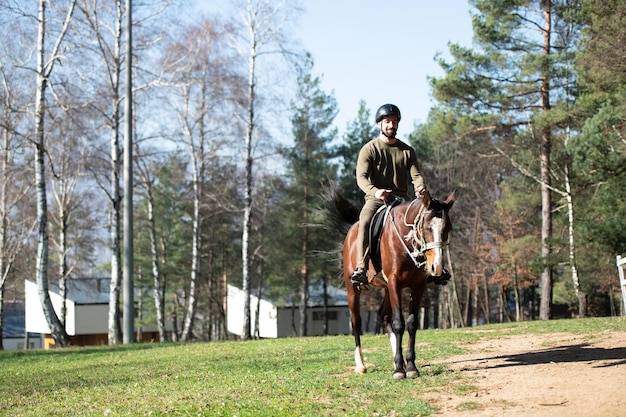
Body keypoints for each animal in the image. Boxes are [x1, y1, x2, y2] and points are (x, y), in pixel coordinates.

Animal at [338, 190, 456, 378]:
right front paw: (400, 370)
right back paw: (361, 365)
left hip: (386, 289)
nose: (436, 267)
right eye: (427, 228)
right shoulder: (395, 283)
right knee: (356, 321)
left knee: (383, 315)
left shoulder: (418, 286)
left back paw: (395, 359)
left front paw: (411, 366)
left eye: (447, 228)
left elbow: (412, 324)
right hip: (353, 289)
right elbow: (399, 323)